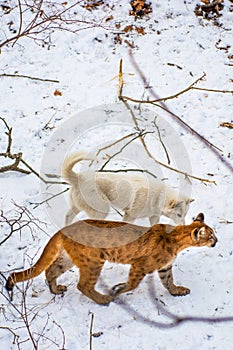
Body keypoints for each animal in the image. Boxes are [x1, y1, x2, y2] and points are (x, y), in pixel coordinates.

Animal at [61, 152, 193, 226]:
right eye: (179, 215)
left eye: (185, 214)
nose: (183, 226)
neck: (158, 198)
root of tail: (79, 177)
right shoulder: (130, 215)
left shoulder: (154, 217)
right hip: (102, 210)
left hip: (78, 207)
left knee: (67, 217)